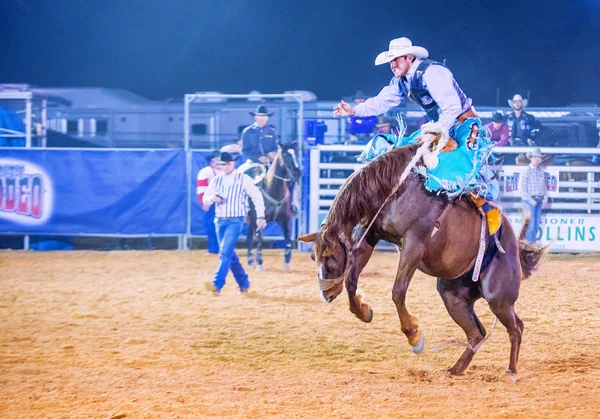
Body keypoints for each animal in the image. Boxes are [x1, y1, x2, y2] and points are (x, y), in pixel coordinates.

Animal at [245, 142, 300, 272]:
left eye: (296, 153)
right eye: (285, 154)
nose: (297, 173)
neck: (272, 188)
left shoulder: (285, 219)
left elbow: (288, 239)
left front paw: (287, 262)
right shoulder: (259, 220)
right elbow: (259, 241)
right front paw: (260, 264)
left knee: (249, 234)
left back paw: (250, 261)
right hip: (251, 219)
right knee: (250, 236)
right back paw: (251, 260)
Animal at [298, 145, 544, 378]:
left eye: (330, 256)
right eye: (313, 256)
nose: (327, 294)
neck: (394, 188)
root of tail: (513, 243)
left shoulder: (414, 245)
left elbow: (398, 291)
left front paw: (414, 337)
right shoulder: (370, 235)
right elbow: (351, 280)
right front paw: (363, 311)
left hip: (498, 298)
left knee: (517, 327)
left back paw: (511, 370)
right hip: (453, 297)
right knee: (477, 334)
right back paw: (456, 369)